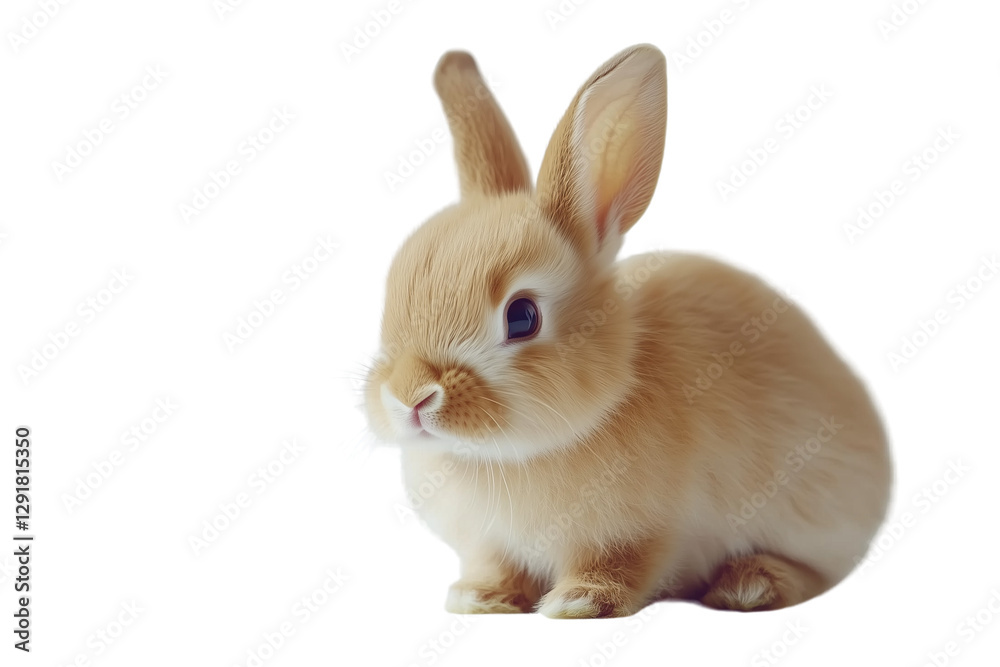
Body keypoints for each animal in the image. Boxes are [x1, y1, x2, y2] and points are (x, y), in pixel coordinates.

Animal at [363, 44, 892, 618]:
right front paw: (477, 598)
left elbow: (623, 564)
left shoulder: (646, 532)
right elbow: (497, 567)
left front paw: (578, 602)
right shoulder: (490, 544)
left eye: (522, 316)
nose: (409, 396)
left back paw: (751, 584)